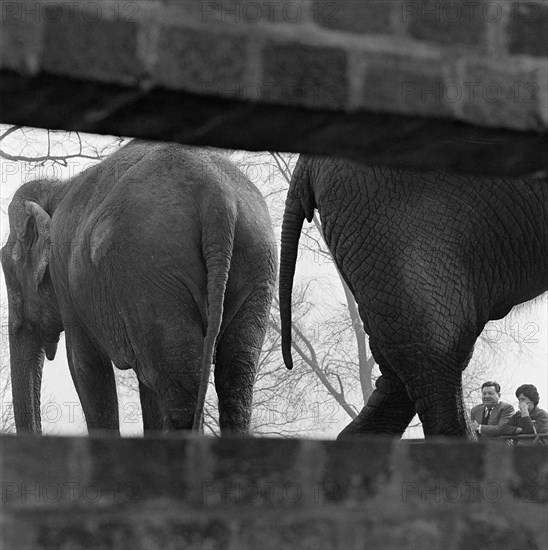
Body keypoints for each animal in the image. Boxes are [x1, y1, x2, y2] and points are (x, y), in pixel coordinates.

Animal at [2, 140, 278, 438]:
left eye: (7, 268)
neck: (57, 188)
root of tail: (218, 198)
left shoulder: (67, 281)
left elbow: (85, 365)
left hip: (153, 269)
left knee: (181, 388)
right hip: (256, 263)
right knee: (234, 378)